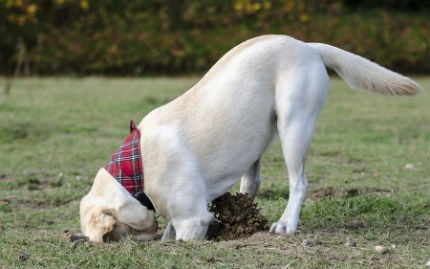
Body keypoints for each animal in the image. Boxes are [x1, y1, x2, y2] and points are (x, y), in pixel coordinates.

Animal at [79, 33, 422, 241]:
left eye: (114, 234)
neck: (134, 169)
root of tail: (306, 45)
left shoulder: (192, 219)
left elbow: (179, 235)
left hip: (293, 125)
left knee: (299, 183)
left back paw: (286, 223)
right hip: (257, 133)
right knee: (252, 181)